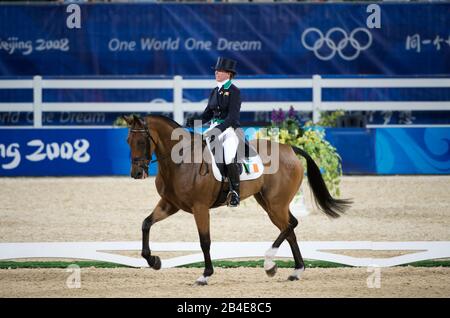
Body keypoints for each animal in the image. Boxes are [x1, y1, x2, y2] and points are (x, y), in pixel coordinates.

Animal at [124, 115, 352, 286]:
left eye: (141, 142)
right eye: (128, 141)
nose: (136, 173)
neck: (180, 161)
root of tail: (289, 149)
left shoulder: (200, 208)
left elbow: (204, 241)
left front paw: (205, 275)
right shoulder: (170, 204)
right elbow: (146, 223)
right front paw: (154, 261)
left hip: (276, 204)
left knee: (290, 225)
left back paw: (269, 264)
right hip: (269, 203)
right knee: (289, 229)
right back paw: (295, 271)